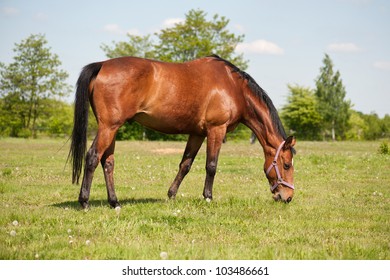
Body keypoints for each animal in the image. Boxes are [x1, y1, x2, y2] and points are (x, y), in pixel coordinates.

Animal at [68, 55, 298, 208]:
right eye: (286, 164)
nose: (287, 197)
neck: (233, 88)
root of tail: (102, 65)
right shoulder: (216, 130)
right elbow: (211, 166)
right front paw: (208, 197)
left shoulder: (197, 133)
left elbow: (185, 165)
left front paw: (171, 194)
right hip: (108, 127)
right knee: (92, 157)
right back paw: (84, 202)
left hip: (112, 129)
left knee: (108, 163)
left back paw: (114, 202)